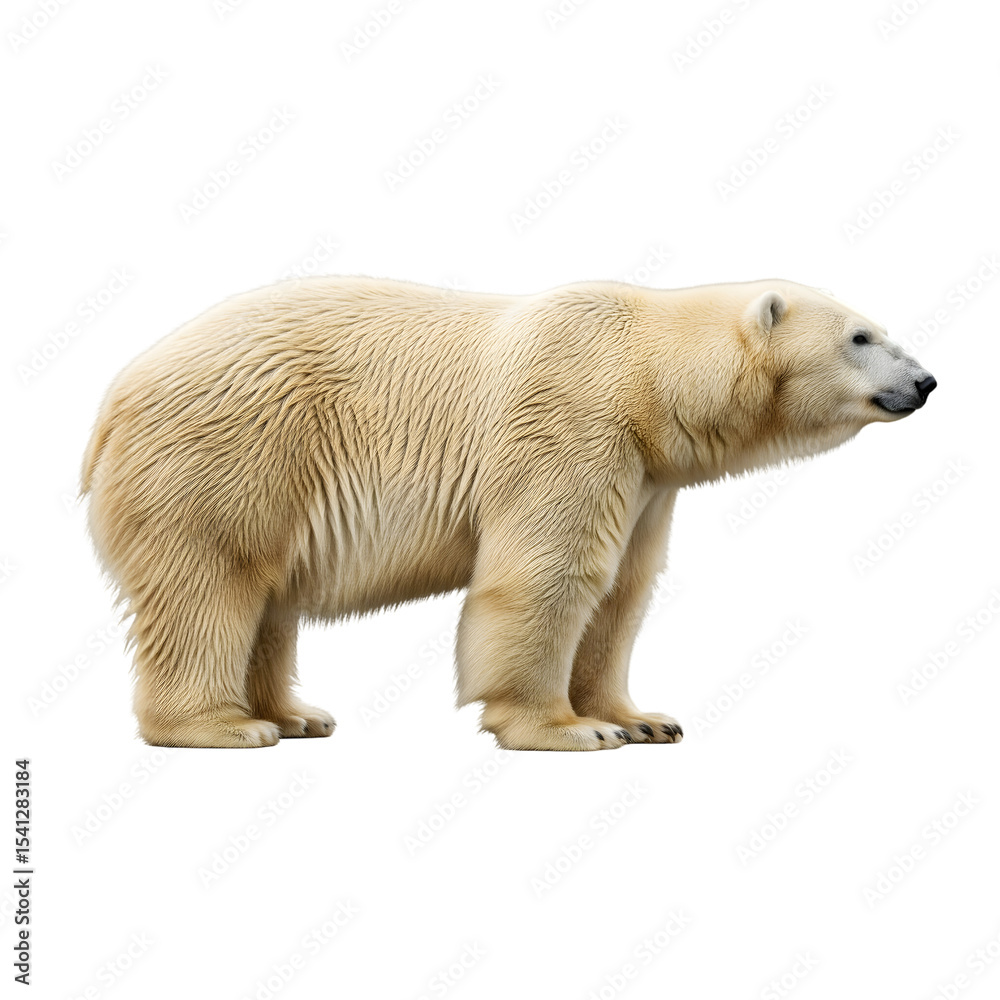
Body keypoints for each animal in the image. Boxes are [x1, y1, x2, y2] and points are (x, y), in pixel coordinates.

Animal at [81, 276, 936, 750]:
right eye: (862, 335)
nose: (927, 380)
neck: (643, 375)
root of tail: (115, 397)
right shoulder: (572, 426)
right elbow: (547, 576)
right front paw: (567, 729)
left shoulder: (647, 478)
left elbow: (622, 591)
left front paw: (641, 718)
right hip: (230, 452)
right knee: (210, 581)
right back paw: (223, 726)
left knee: (267, 595)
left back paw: (294, 714)